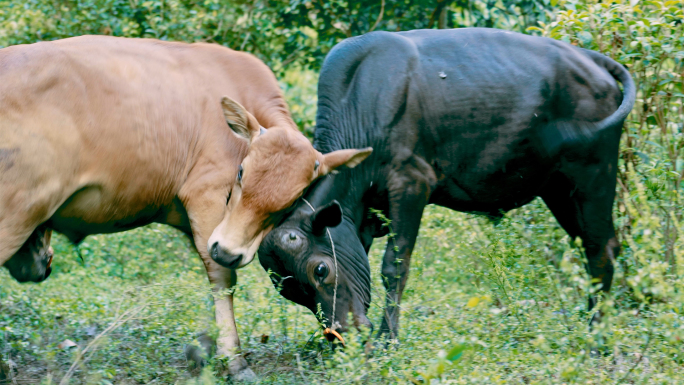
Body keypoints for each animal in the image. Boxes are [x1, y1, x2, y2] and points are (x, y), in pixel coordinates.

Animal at [0, 36, 368, 378]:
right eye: (241, 173)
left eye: (291, 200)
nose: (230, 250)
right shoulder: (205, 195)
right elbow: (221, 273)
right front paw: (233, 359)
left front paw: (205, 347)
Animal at [256, 28, 636, 340]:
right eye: (292, 292)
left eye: (320, 270)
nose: (341, 335)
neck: (362, 100)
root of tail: (590, 58)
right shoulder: (365, 212)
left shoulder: (411, 184)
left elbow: (394, 265)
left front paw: (387, 339)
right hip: (558, 189)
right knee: (589, 247)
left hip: (592, 176)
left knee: (602, 249)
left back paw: (597, 336)